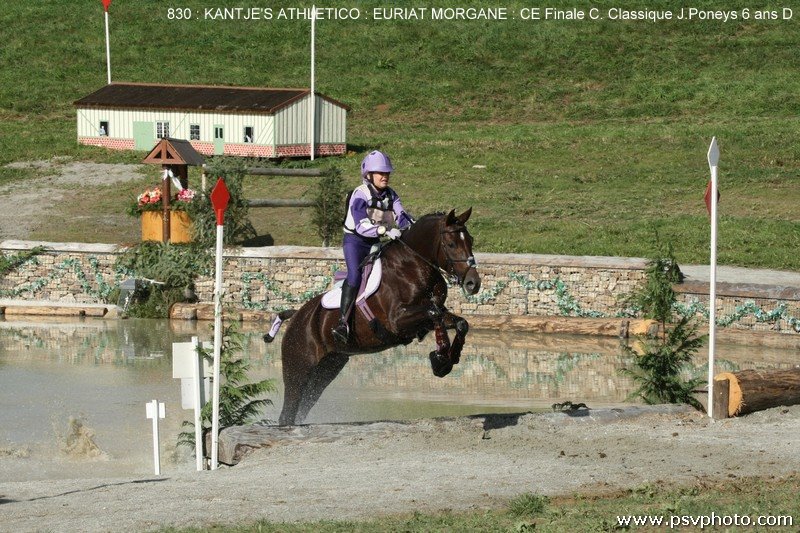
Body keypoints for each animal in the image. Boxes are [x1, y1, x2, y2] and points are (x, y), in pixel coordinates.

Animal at [268, 208, 482, 424]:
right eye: (451, 244)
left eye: (471, 240)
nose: (473, 283)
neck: (414, 267)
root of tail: (297, 316)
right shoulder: (397, 321)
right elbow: (434, 312)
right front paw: (440, 356)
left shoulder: (425, 317)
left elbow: (459, 322)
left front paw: (447, 360)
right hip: (298, 370)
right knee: (287, 412)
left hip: (326, 369)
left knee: (301, 408)